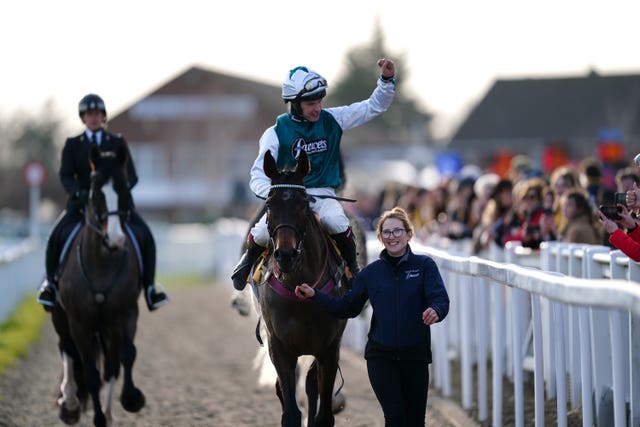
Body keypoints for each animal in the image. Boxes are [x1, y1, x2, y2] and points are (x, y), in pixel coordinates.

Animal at [51, 145, 145, 427]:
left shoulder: (125, 314)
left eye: (124, 187)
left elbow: (126, 355)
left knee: (111, 365)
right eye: (95, 191)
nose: (115, 240)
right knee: (67, 351)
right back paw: (69, 401)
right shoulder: (79, 323)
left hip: (106, 327)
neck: (103, 262)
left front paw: (131, 398)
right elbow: (90, 373)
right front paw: (97, 417)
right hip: (61, 318)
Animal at [258, 150, 348, 427]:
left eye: (304, 204)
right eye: (269, 205)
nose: (285, 255)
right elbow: (290, 412)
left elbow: (323, 414)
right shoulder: (279, 348)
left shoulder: (329, 349)